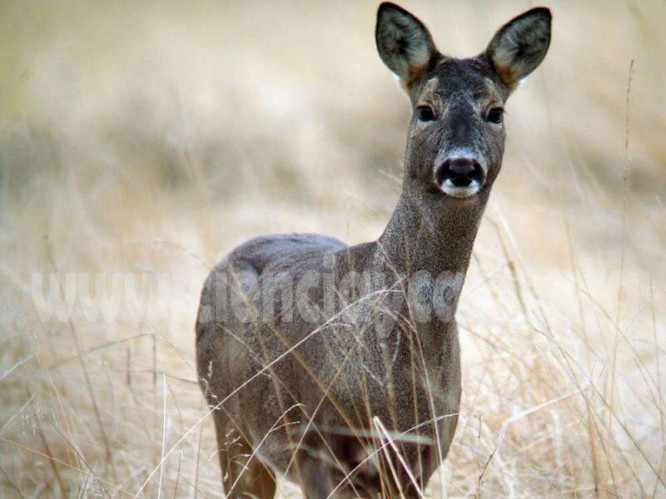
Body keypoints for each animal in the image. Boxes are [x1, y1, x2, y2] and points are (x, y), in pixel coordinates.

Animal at [196, 2, 548, 496]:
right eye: (425, 109)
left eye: (495, 111)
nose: (461, 167)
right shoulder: (317, 449)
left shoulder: (424, 453)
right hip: (227, 419)